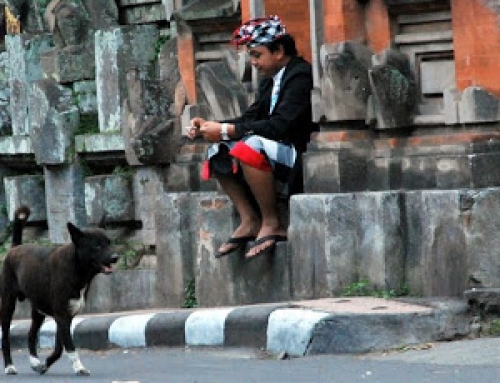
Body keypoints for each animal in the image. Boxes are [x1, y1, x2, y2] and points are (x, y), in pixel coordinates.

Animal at [0, 207, 118, 376]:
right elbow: (70, 347)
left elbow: (59, 348)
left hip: (38, 311)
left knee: (31, 335)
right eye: (97, 246)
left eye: (109, 243)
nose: (115, 257)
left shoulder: (65, 317)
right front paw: (79, 367)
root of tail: (14, 248)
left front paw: (45, 364)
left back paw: (35, 362)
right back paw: (9, 366)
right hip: (8, 304)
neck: (76, 266)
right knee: (5, 338)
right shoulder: (62, 316)